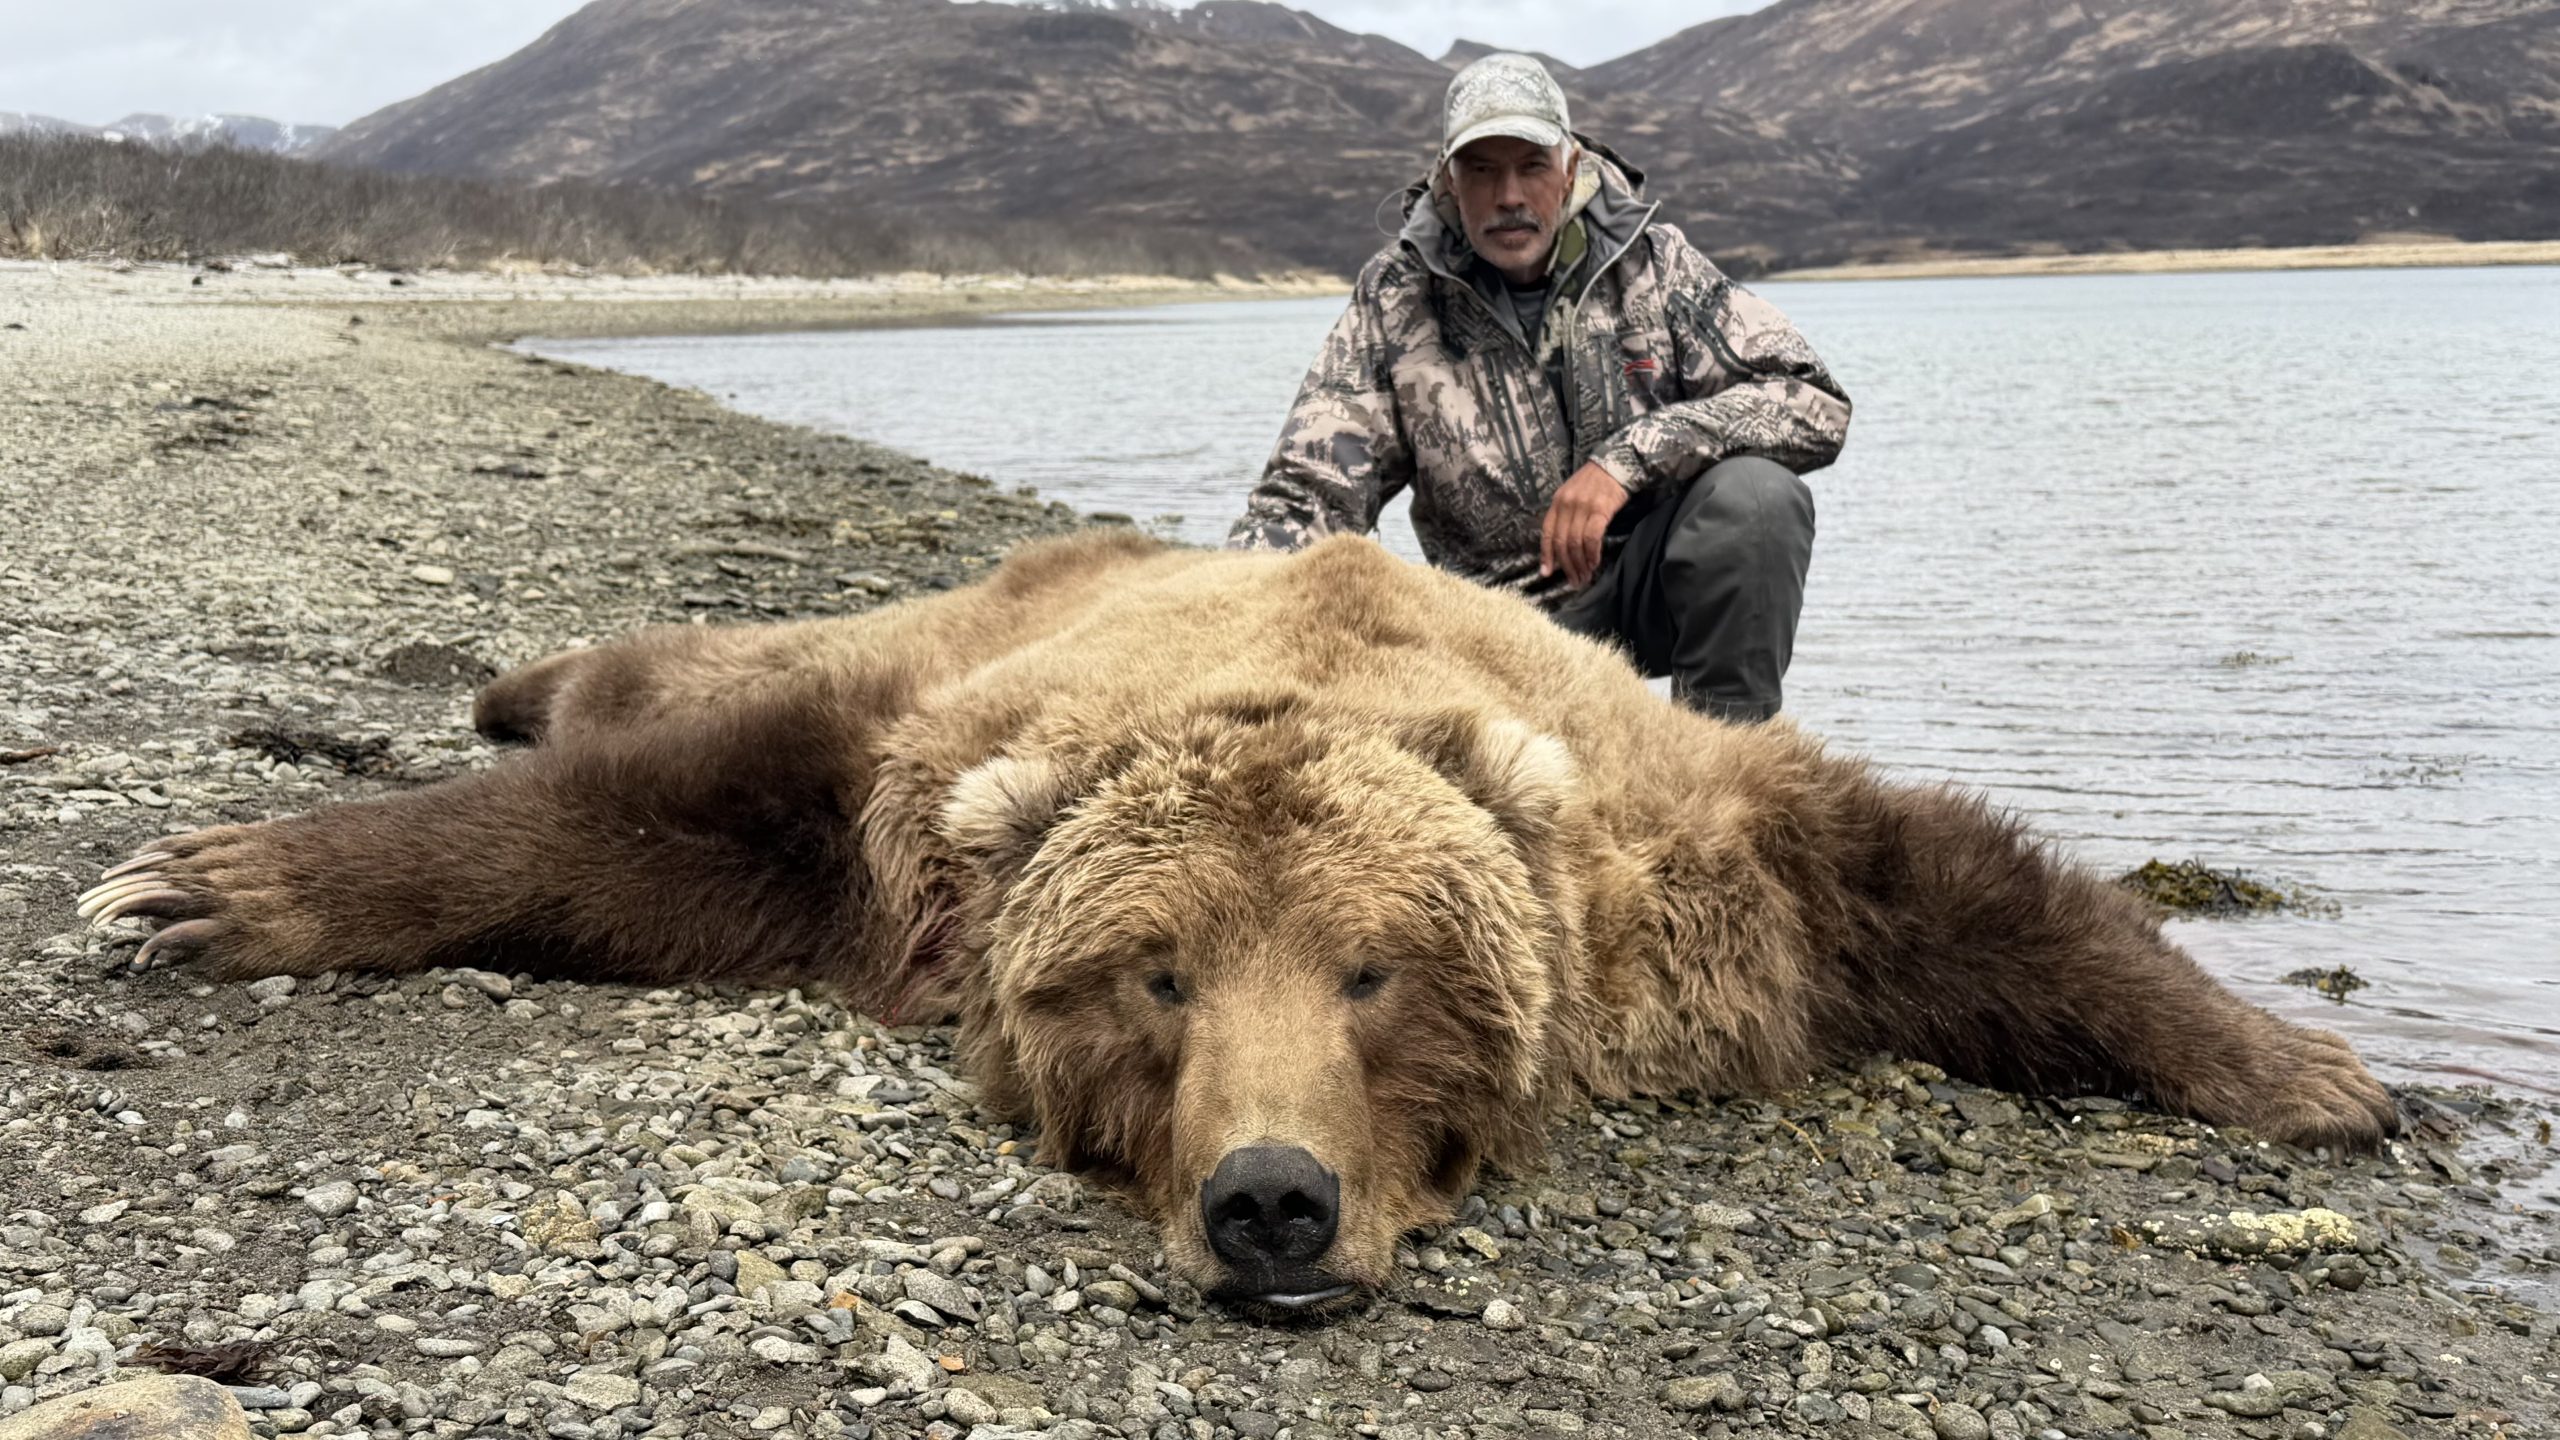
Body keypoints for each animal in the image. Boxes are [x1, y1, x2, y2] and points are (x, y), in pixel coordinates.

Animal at [80, 530, 2396, 1312]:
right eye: (1153, 974)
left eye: (1379, 973)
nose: (1271, 1199)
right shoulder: (904, 797)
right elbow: (652, 824)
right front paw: (197, 882)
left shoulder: (1700, 854)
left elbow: (1944, 885)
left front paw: (2313, 1074)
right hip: (953, 619)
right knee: (687, 670)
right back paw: (511, 677)